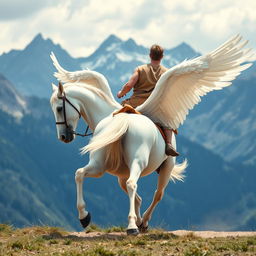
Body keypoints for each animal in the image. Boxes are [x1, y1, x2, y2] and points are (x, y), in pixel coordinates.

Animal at [49, 35, 252, 235]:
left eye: (59, 109)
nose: (64, 137)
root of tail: (124, 121)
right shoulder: (106, 169)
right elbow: (80, 174)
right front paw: (85, 216)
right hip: (125, 167)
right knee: (130, 186)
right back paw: (136, 223)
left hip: (162, 166)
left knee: (153, 192)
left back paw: (139, 223)